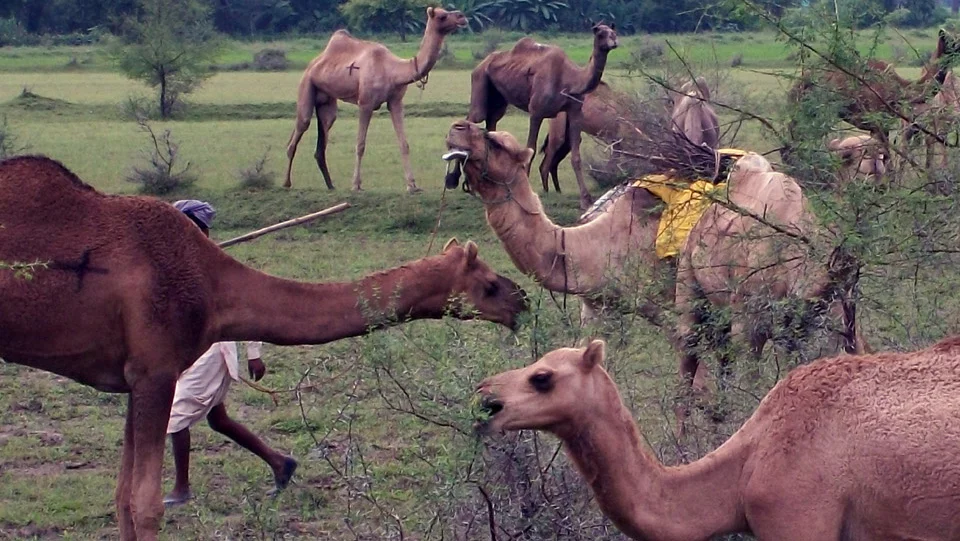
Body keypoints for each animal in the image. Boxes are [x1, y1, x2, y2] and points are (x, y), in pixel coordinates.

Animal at [0, 154, 524, 540]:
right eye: (488, 283)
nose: (521, 298)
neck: (211, 287)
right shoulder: (156, 370)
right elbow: (144, 504)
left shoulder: (134, 376)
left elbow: (122, 499)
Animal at [284, 6, 466, 193]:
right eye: (442, 16)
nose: (462, 16)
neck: (393, 71)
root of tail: (313, 63)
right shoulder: (365, 103)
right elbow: (360, 145)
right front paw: (356, 185)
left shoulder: (395, 102)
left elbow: (404, 144)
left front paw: (412, 185)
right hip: (306, 85)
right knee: (300, 128)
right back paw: (287, 183)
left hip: (326, 99)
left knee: (323, 136)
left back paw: (330, 185)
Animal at [466, 23, 620, 210]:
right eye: (600, 34)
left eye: (613, 32)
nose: (614, 42)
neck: (569, 81)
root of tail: (482, 63)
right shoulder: (536, 111)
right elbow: (530, 149)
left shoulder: (575, 111)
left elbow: (576, 157)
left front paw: (586, 200)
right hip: (480, 79)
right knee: (472, 119)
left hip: (498, 99)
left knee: (492, 122)